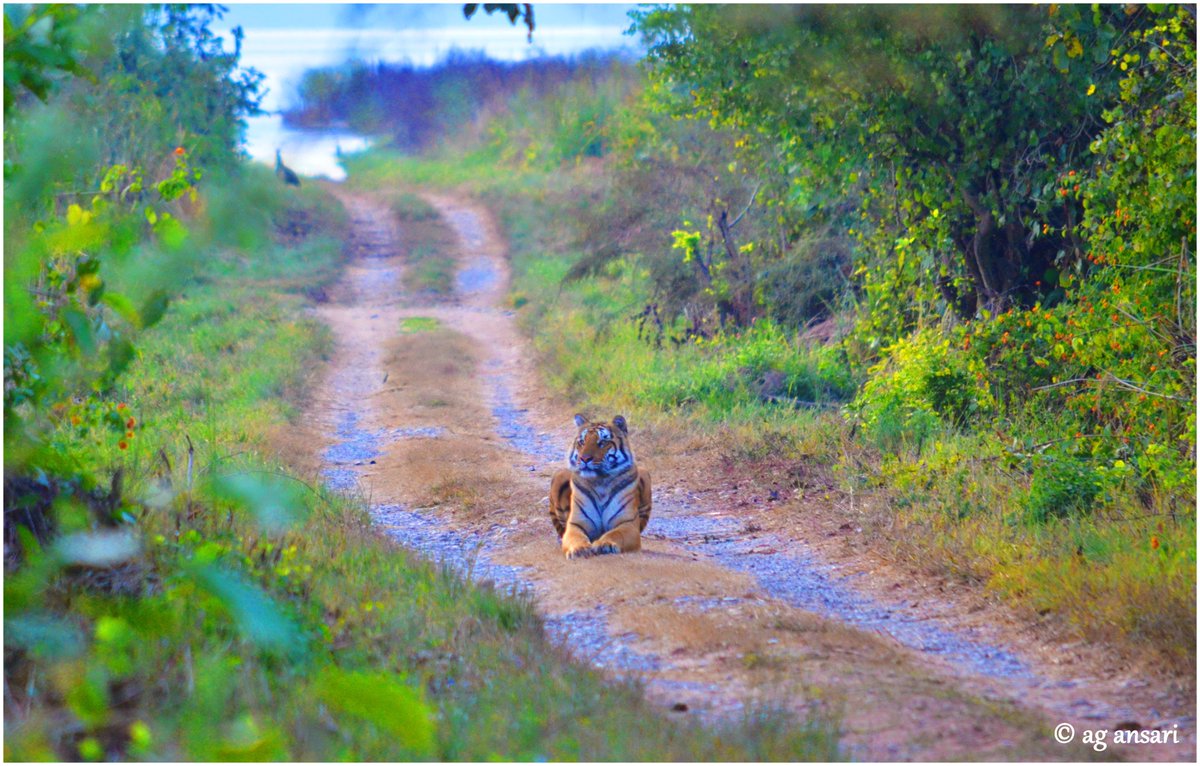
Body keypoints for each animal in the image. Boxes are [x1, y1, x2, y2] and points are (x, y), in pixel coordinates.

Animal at [549, 417, 652, 561]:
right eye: (582, 442)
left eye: (602, 442)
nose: (584, 458)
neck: (600, 481)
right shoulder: (576, 523)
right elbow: (575, 537)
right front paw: (579, 549)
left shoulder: (628, 524)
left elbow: (616, 534)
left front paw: (605, 544)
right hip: (559, 475)